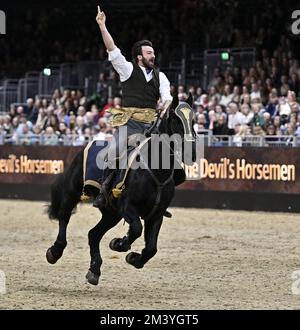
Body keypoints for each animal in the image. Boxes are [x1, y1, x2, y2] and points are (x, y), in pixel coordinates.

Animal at [45, 94, 196, 284]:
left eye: (193, 119)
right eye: (176, 119)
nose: (191, 152)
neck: (155, 172)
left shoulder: (156, 214)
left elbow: (151, 248)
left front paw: (133, 258)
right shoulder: (128, 206)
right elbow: (137, 229)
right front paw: (119, 243)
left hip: (111, 213)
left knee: (93, 234)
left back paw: (94, 270)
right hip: (72, 192)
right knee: (64, 217)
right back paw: (55, 251)